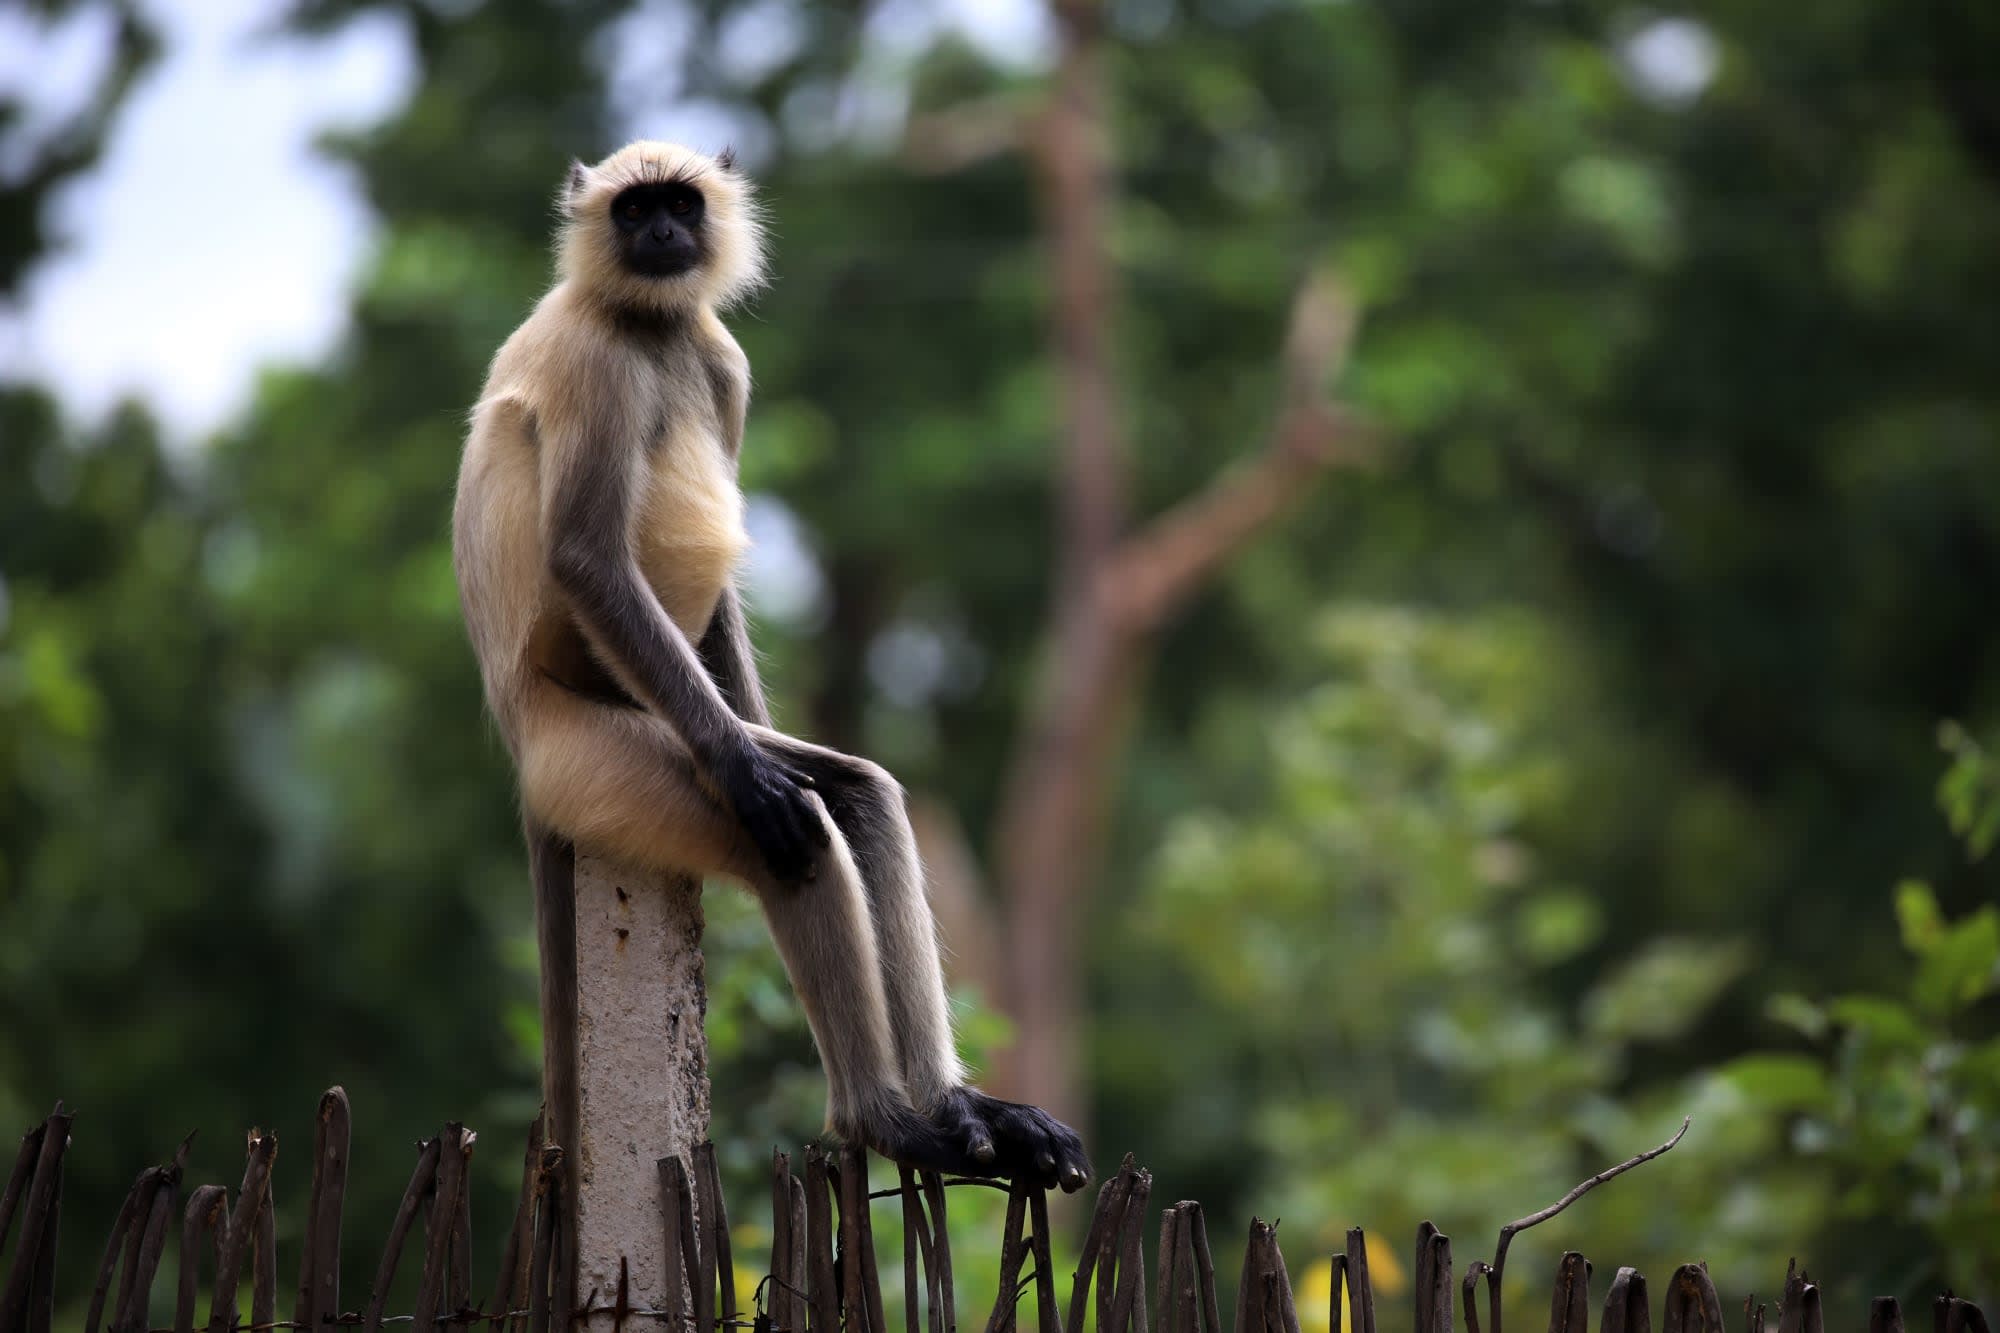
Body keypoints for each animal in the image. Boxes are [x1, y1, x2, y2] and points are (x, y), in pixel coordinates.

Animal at [452, 140, 1090, 1192]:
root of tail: (519, 742)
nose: (663, 235)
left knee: (861, 796)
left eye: (678, 204)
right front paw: (751, 779)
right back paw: (887, 1122)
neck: (649, 325)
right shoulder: (593, 359)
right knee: (796, 830)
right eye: (634, 211)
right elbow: (586, 558)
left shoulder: (724, 364)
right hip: (602, 762)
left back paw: (960, 1110)